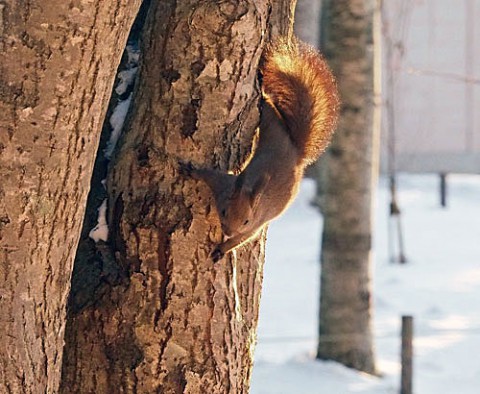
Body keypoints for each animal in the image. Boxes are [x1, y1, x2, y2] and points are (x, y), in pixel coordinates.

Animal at [181, 37, 342, 262]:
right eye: (223, 211)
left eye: (246, 220)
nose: (228, 231)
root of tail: (295, 152)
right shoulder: (225, 184)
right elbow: (210, 175)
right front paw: (191, 170)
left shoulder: (256, 224)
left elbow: (243, 238)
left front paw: (222, 249)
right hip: (271, 125)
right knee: (267, 109)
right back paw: (263, 94)